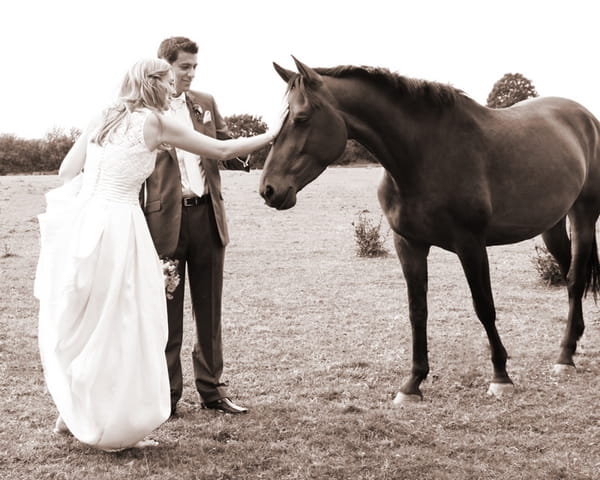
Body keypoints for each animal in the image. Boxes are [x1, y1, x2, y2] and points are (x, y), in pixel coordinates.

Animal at [260, 56, 600, 404]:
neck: (424, 155)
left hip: (584, 214)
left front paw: (500, 375)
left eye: (300, 118)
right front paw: (413, 383)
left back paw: (564, 357)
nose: (269, 189)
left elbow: (484, 306)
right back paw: (572, 345)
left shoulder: (471, 245)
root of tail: (585, 116)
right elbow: (417, 311)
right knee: (570, 276)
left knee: (575, 280)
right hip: (552, 225)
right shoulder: (408, 244)